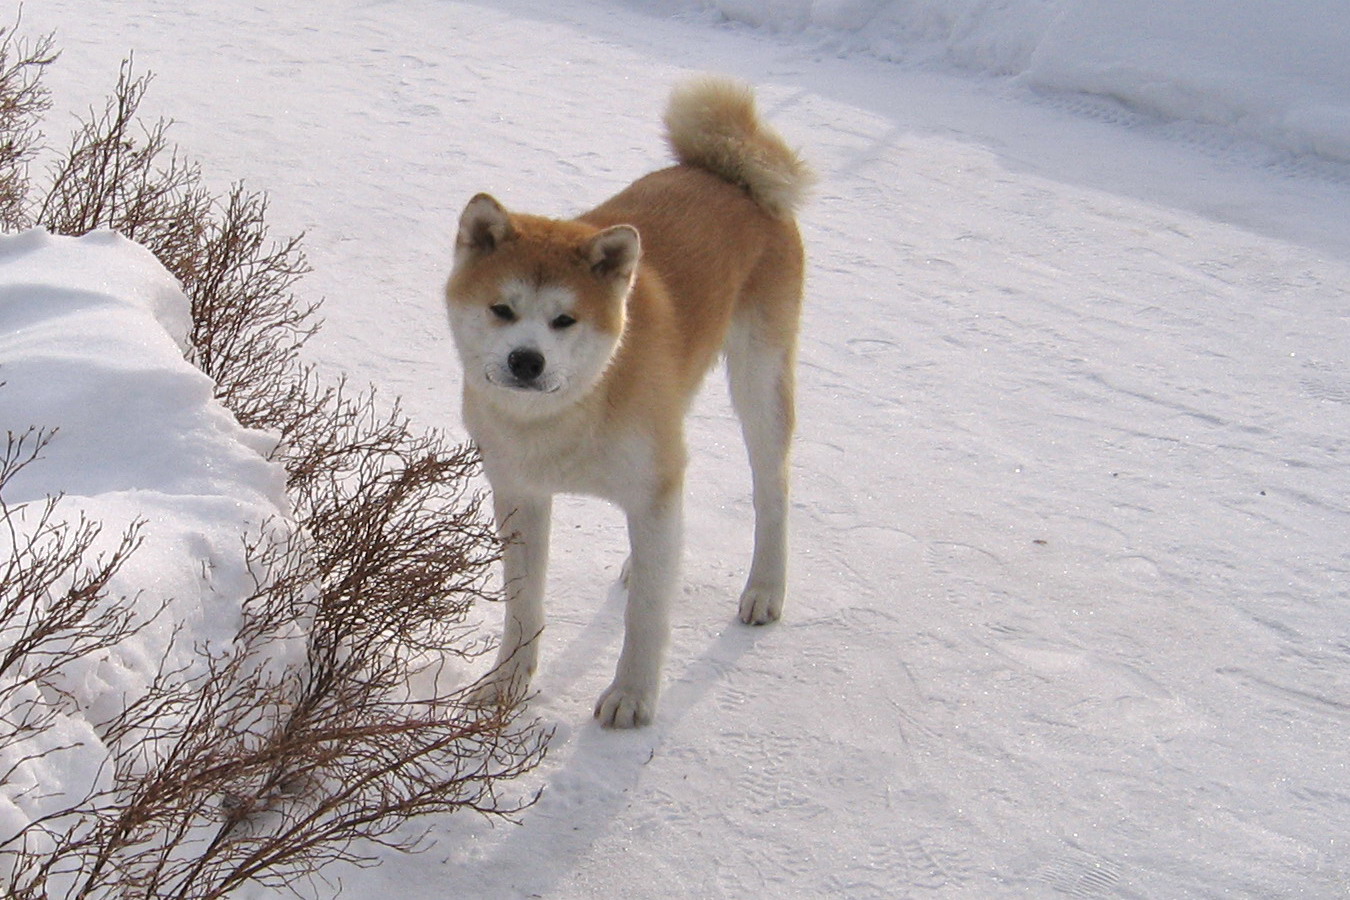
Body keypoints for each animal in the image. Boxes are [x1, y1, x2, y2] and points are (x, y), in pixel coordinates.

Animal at [445, 73, 810, 728]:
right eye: (502, 309)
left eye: (564, 320)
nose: (526, 360)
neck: (573, 410)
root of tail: (733, 176)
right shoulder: (520, 492)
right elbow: (523, 603)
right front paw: (508, 681)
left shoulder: (654, 487)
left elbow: (646, 617)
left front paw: (633, 696)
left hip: (760, 384)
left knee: (772, 492)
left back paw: (765, 588)